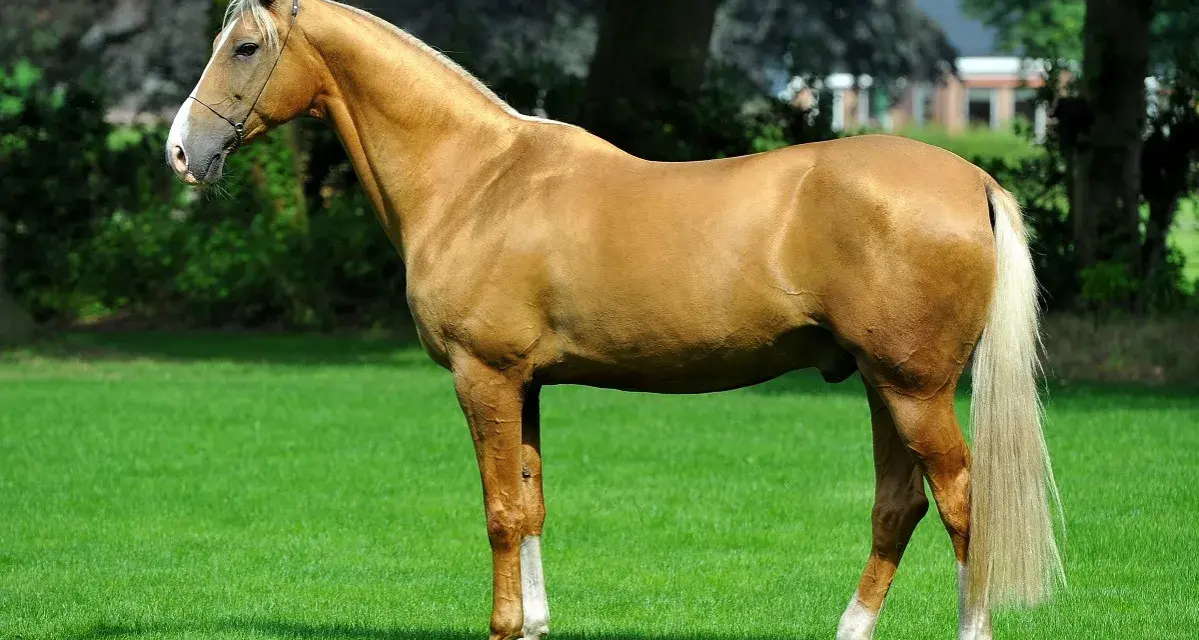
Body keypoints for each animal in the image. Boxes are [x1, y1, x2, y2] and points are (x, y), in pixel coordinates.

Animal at [165, 2, 1063, 638]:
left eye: (244, 48)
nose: (180, 151)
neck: (476, 179)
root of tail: (975, 181)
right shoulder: (524, 384)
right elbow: (530, 504)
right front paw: (533, 625)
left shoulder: (484, 377)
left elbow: (499, 512)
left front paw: (503, 627)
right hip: (883, 385)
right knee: (897, 505)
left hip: (914, 389)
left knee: (959, 502)